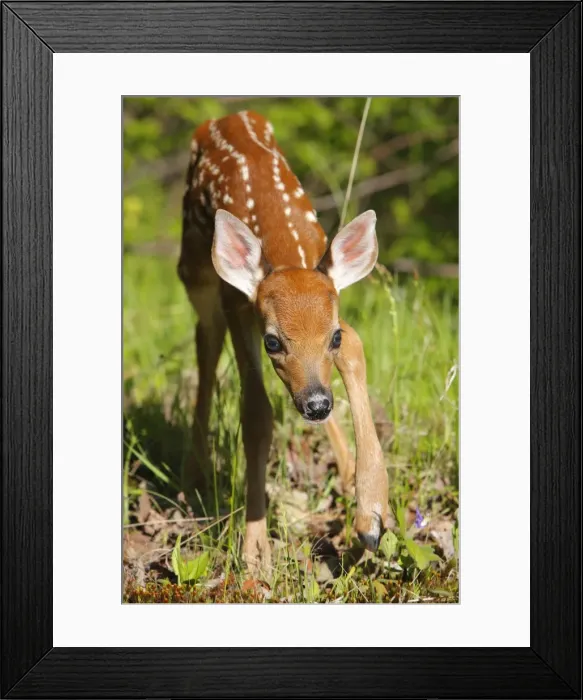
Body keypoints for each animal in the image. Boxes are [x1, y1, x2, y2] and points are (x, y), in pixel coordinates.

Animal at [178, 110, 389, 573]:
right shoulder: (236, 303)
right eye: (273, 342)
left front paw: (371, 512)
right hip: (194, 269)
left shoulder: (334, 301)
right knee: (205, 339)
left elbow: (357, 350)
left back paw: (345, 470)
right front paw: (256, 551)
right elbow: (256, 413)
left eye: (333, 336)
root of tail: (226, 116)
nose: (316, 404)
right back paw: (194, 469)